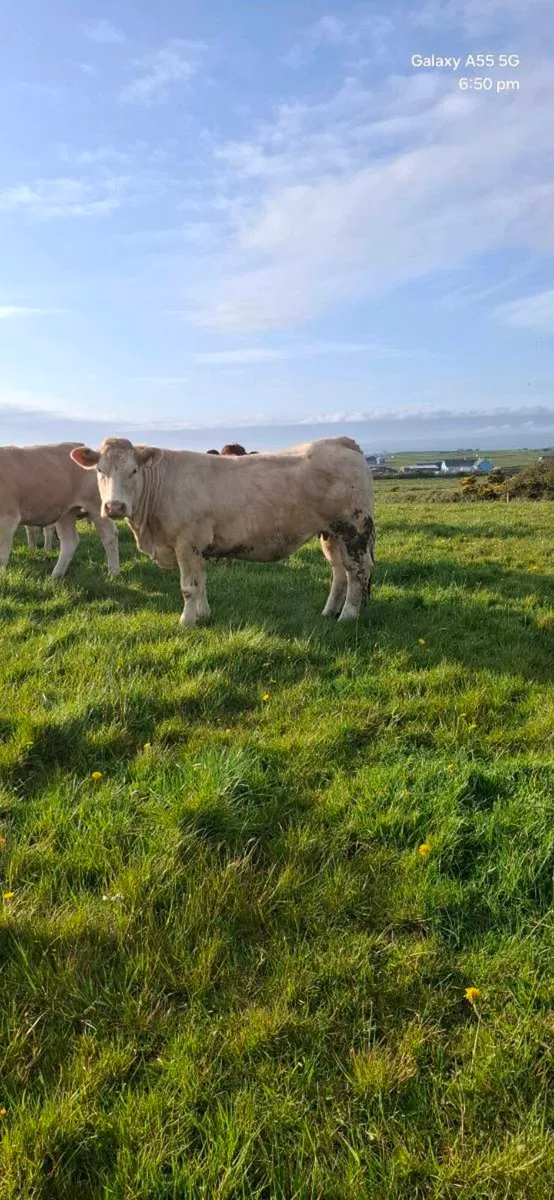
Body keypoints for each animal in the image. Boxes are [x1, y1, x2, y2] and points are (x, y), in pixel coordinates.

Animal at [0, 444, 120, 578]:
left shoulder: (8, 516)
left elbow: (2, 554)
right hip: (67, 512)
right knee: (69, 541)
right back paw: (56, 575)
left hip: (96, 505)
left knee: (109, 536)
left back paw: (113, 573)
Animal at [71, 436, 374, 626]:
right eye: (100, 470)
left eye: (134, 471)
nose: (114, 506)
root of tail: (341, 442)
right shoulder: (197, 547)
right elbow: (201, 582)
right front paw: (203, 614)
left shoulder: (186, 543)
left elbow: (188, 587)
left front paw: (186, 621)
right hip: (331, 534)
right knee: (339, 571)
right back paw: (329, 611)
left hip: (353, 530)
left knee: (357, 572)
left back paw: (348, 616)